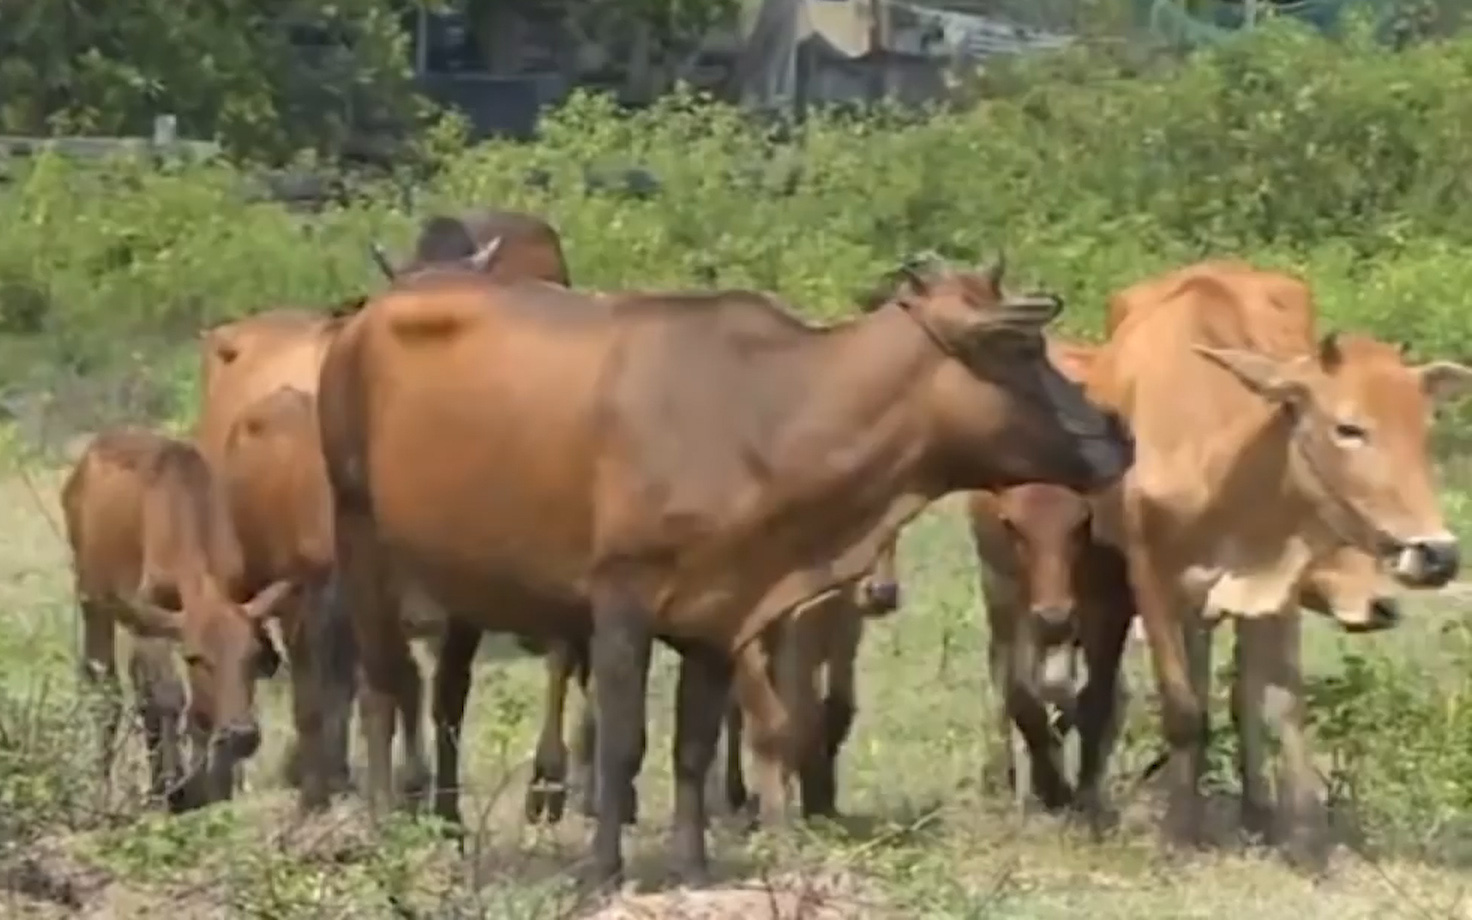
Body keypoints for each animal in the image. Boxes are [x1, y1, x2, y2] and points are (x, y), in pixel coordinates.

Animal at [62, 426, 295, 806]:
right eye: (196, 658)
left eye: (252, 657)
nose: (242, 734)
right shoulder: (150, 615)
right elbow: (170, 697)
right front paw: (179, 789)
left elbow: (194, 709)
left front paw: (213, 787)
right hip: (92, 601)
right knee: (106, 687)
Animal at [316, 254, 1130, 889]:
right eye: (1018, 350)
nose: (1118, 431)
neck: (761, 416)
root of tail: (359, 321)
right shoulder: (621, 598)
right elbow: (623, 742)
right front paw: (605, 868)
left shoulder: (716, 614)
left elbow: (693, 747)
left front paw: (692, 864)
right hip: (362, 542)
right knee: (384, 687)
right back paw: (386, 822)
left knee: (437, 694)